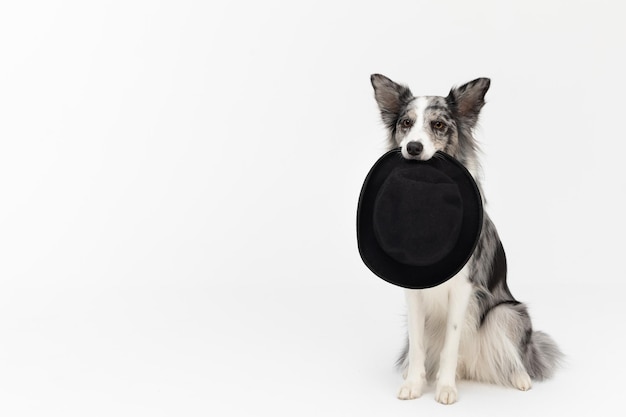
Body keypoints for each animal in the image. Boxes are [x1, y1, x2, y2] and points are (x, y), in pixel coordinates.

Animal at [368, 74, 564, 404]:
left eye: (438, 125)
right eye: (406, 123)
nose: (413, 147)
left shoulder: (463, 289)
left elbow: (451, 343)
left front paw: (445, 389)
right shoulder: (413, 294)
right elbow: (418, 346)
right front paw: (414, 384)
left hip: (507, 312)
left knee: (518, 354)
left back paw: (520, 378)